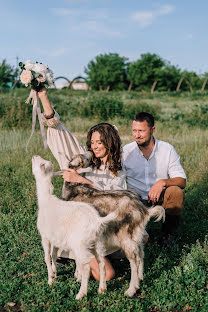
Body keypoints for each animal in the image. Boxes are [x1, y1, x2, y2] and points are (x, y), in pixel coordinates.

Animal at [31, 156, 118, 300]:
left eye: (41, 163)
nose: (34, 156)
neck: (46, 200)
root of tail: (96, 220)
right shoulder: (56, 237)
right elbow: (54, 254)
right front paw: (55, 273)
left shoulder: (45, 236)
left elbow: (47, 257)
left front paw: (50, 280)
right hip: (98, 243)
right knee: (101, 263)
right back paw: (102, 289)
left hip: (80, 245)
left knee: (86, 267)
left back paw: (81, 294)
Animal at [60, 152, 166, 298]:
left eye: (84, 158)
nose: (90, 154)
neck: (73, 189)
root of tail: (143, 210)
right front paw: (78, 276)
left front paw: (79, 277)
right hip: (136, 235)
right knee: (141, 253)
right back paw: (140, 278)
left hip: (125, 237)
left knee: (134, 260)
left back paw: (131, 290)